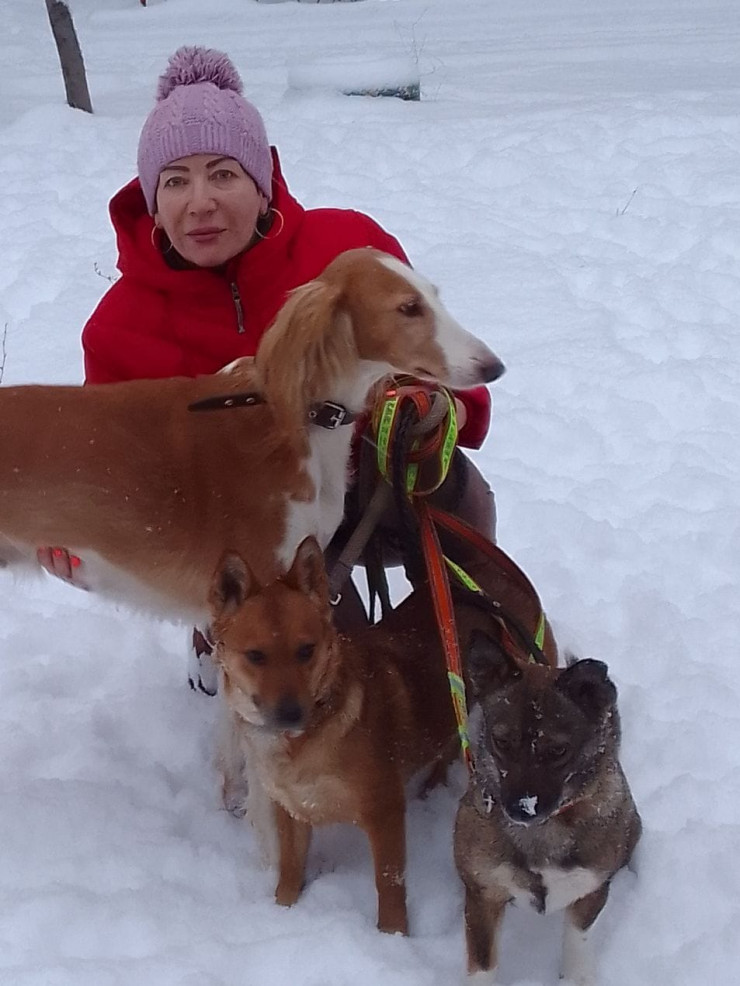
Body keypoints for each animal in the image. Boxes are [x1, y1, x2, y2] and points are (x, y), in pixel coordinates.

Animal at [209, 534, 459, 935]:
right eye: (256, 656)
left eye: (306, 650)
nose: (290, 713)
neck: (303, 742)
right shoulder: (290, 811)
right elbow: (290, 870)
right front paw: (283, 912)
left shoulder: (384, 811)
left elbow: (389, 884)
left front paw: (393, 936)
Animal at [454, 628, 641, 985]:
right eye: (501, 741)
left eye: (558, 750)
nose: (520, 808)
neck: (546, 828)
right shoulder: (484, 894)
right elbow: (482, 964)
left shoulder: (588, 890)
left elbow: (577, 941)